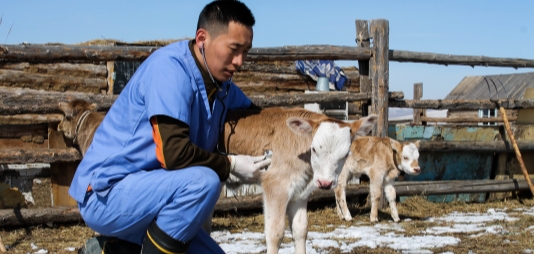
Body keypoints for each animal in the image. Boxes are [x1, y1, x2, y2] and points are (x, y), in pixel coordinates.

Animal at [224, 108, 378, 254]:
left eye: (346, 154)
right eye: (314, 149)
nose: (325, 183)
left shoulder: (299, 193)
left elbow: (300, 230)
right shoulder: (275, 185)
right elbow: (275, 234)